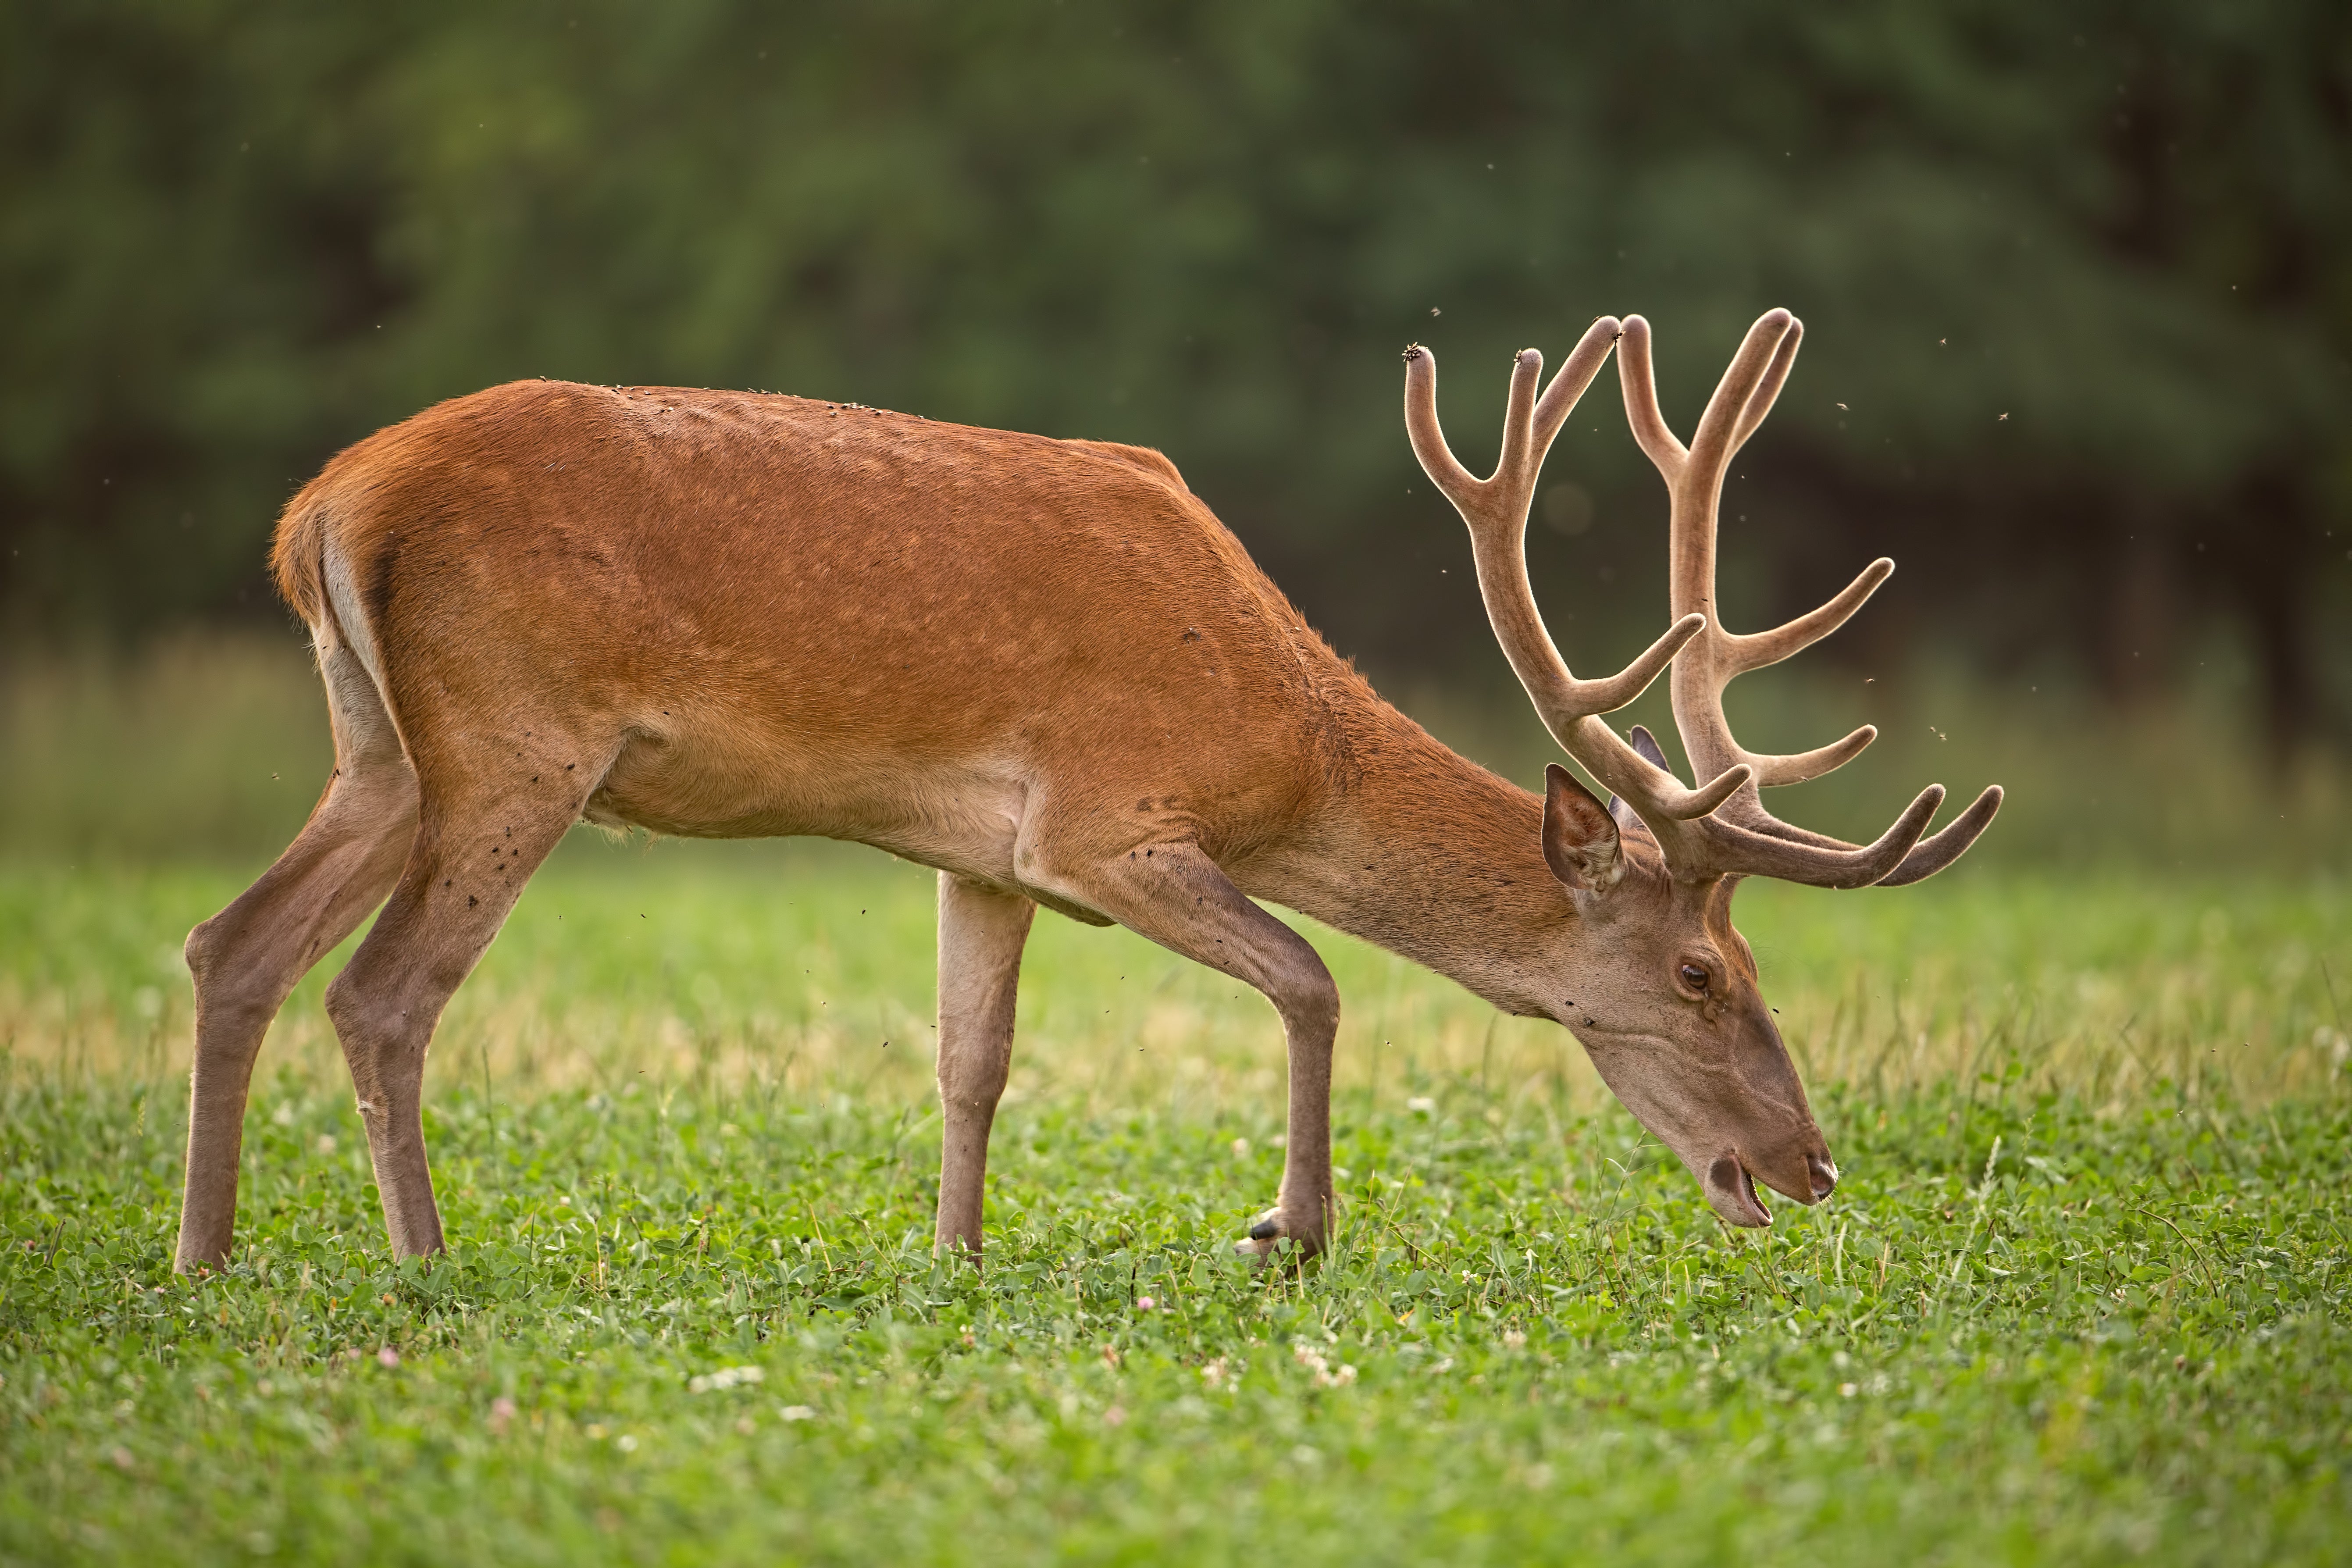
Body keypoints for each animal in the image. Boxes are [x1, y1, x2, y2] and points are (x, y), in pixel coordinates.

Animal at [172, 307, 1998, 1275]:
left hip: (378, 748)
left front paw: (955, 1254)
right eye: (1700, 972)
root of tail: (322, 505)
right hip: (515, 737)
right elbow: (1313, 975)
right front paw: (1287, 1232)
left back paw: (207, 1255)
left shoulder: (981, 857)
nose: (1808, 1164)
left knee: (232, 944)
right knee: (383, 990)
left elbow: (970, 1062)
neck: (1283, 740)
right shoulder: (1105, 820)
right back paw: (421, 1266)